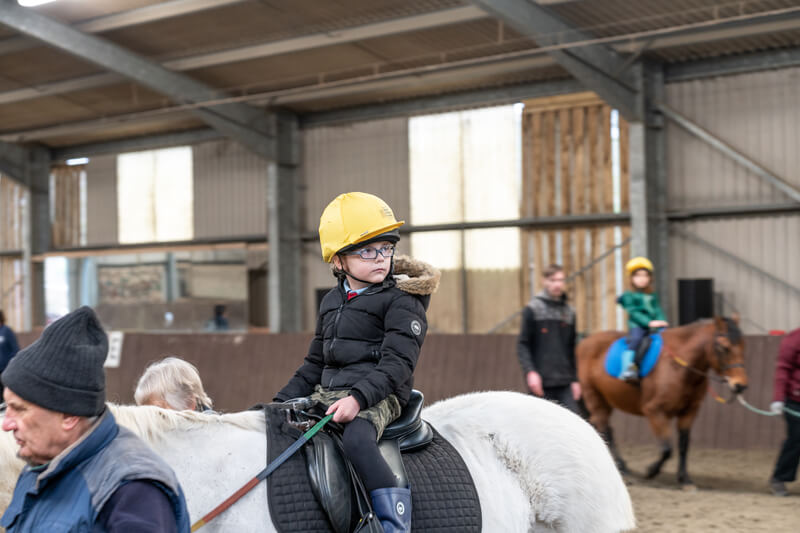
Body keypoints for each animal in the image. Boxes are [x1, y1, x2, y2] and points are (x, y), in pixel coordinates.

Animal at [580, 316, 748, 486]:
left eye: (743, 345)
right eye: (725, 347)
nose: (740, 385)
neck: (679, 368)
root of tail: (586, 340)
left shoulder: (689, 412)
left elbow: (683, 445)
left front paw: (684, 479)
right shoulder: (654, 411)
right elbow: (667, 449)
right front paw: (651, 470)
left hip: (606, 400)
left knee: (605, 428)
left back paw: (622, 467)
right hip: (595, 397)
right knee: (603, 428)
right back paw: (623, 470)